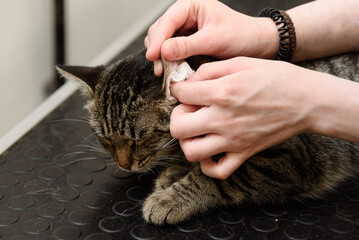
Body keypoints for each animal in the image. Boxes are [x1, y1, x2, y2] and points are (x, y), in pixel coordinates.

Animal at [56, 48, 359, 225]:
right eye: (106, 140)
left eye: (140, 140)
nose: (123, 165)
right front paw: (174, 171)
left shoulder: (289, 157)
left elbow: (218, 178)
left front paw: (170, 198)